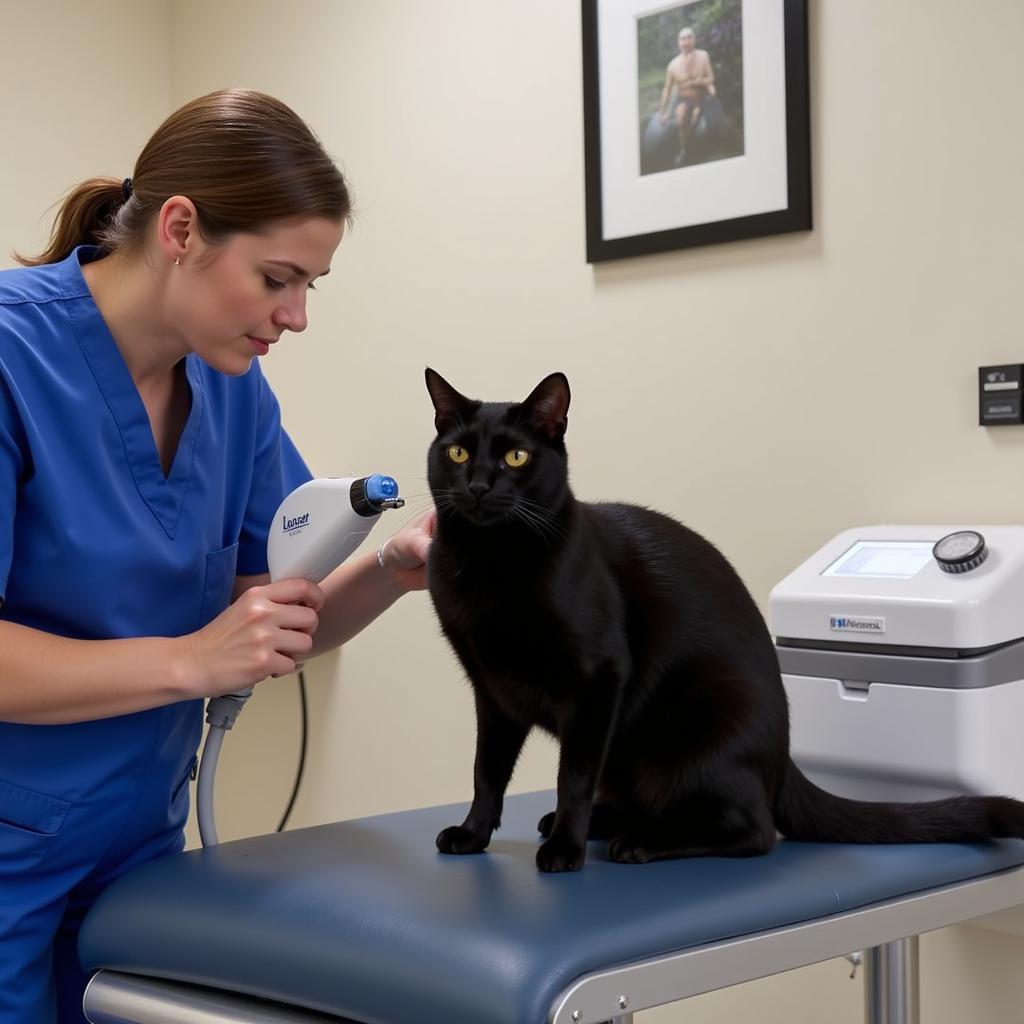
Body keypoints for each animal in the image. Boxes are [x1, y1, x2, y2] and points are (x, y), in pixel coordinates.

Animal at [421, 368, 1024, 872]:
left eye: (517, 458)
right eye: (457, 451)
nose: (478, 484)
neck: (489, 564)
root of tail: (783, 761)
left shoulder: (598, 679)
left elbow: (572, 776)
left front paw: (565, 850)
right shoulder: (493, 690)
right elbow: (486, 771)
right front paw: (473, 834)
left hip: (700, 714)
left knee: (754, 831)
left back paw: (638, 843)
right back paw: (609, 823)